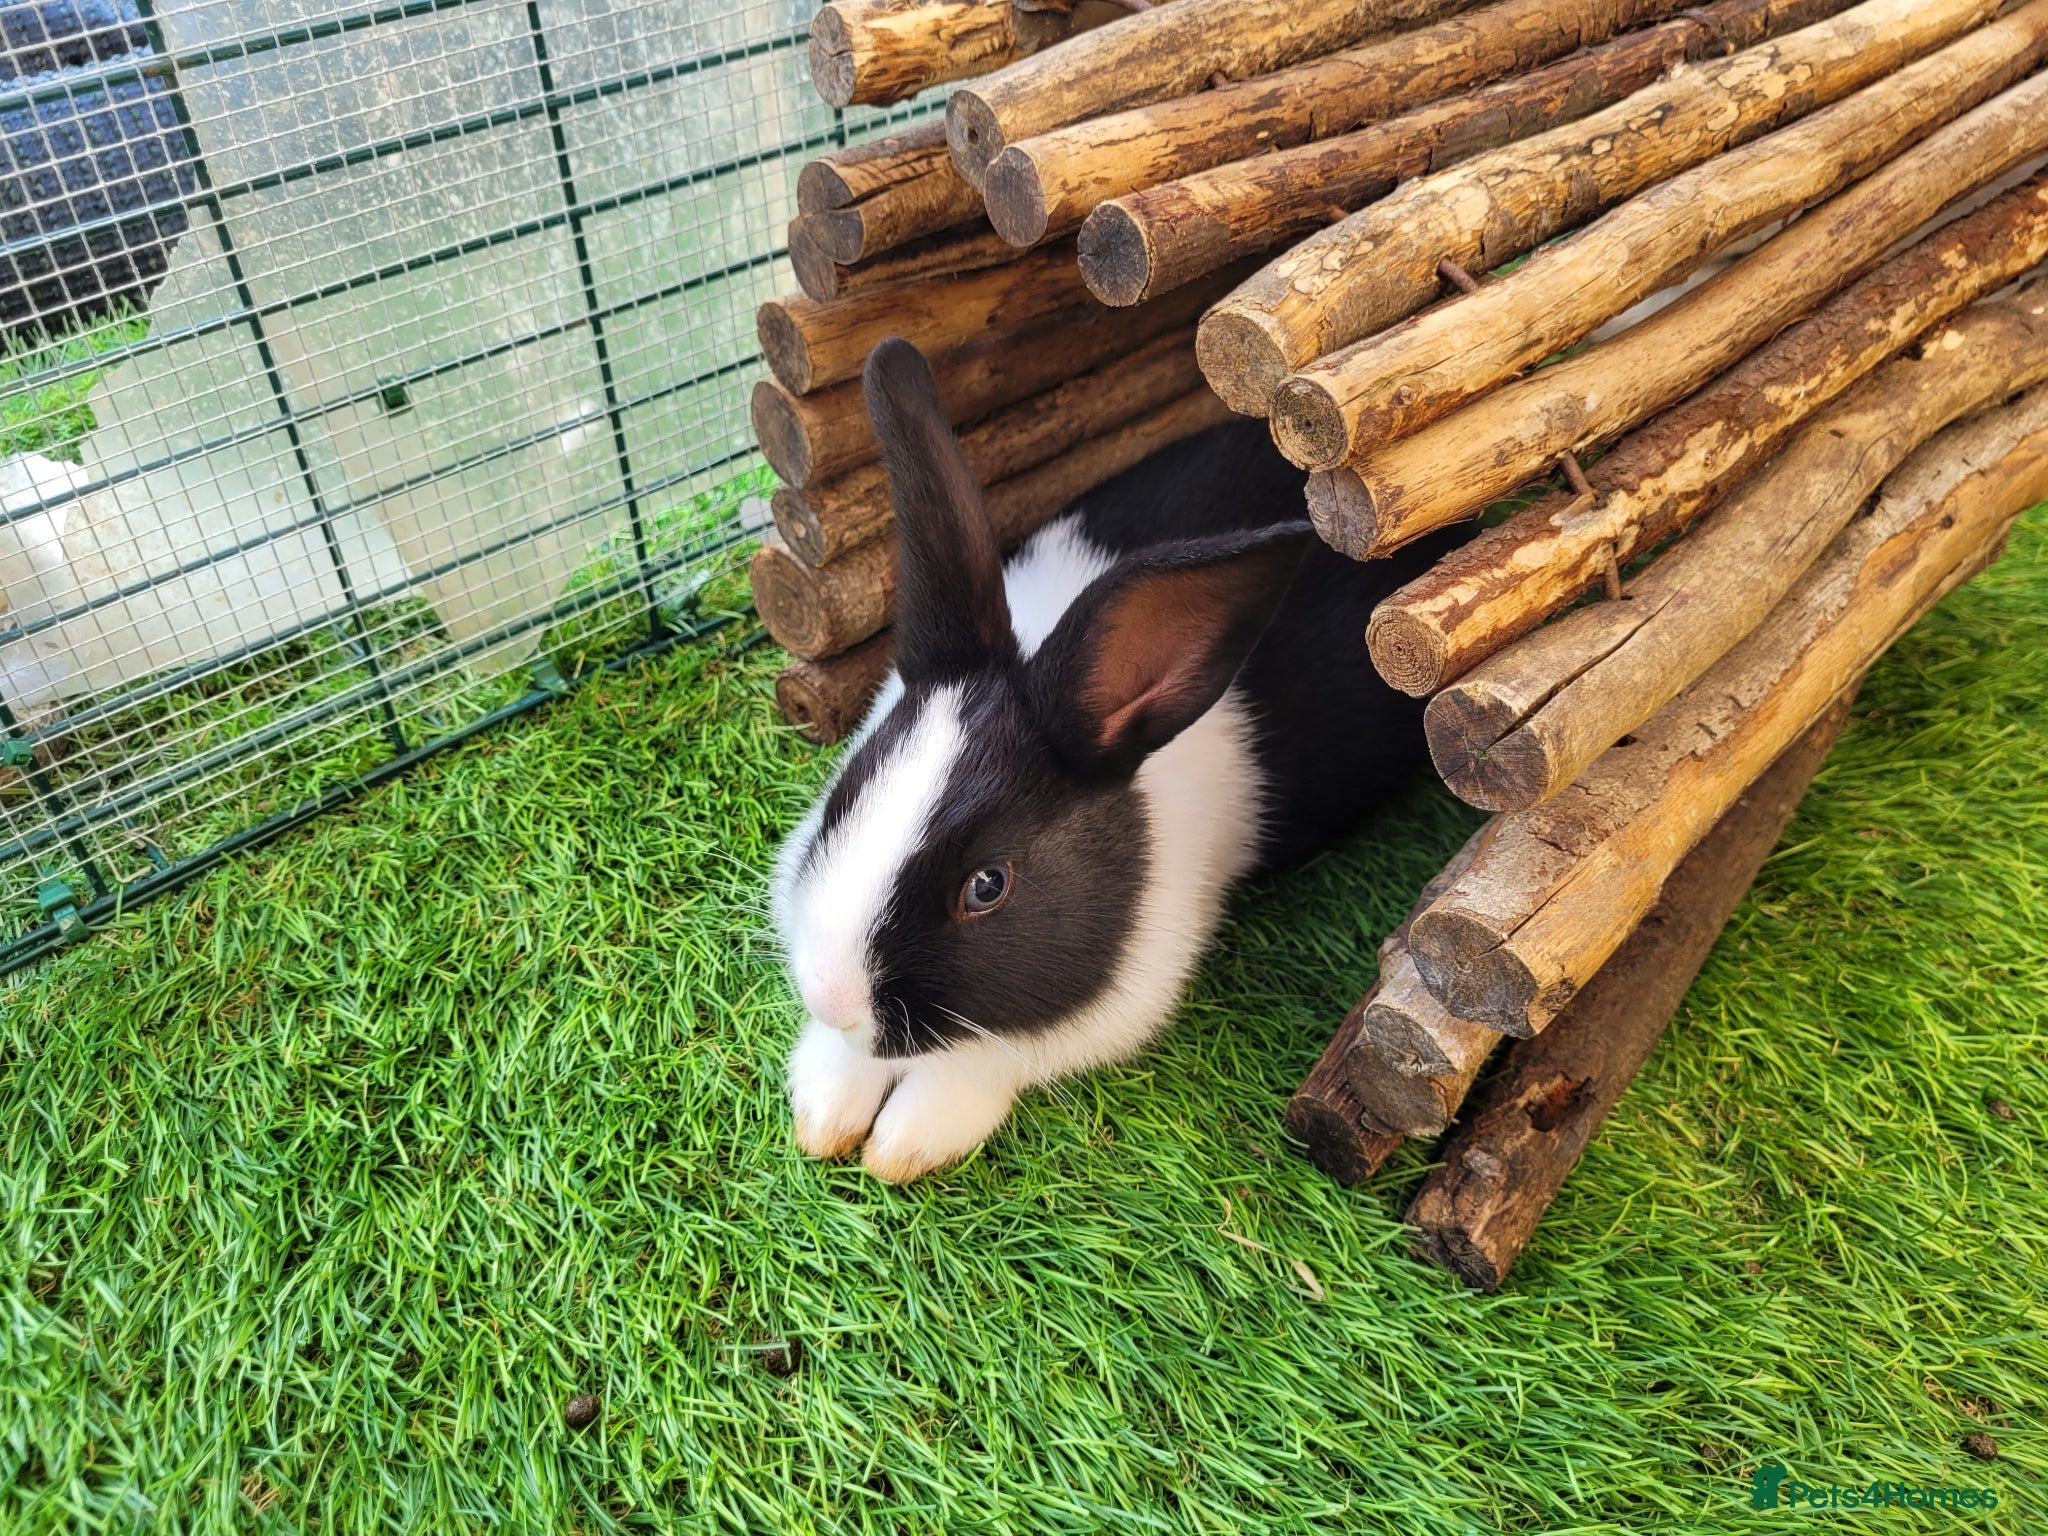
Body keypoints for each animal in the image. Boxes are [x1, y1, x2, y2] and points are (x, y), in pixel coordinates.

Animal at [772, 337, 1465, 1182]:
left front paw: (904, 1142)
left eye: (987, 887)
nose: (831, 997)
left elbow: (986, 1061)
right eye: (843, 802)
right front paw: (824, 1109)